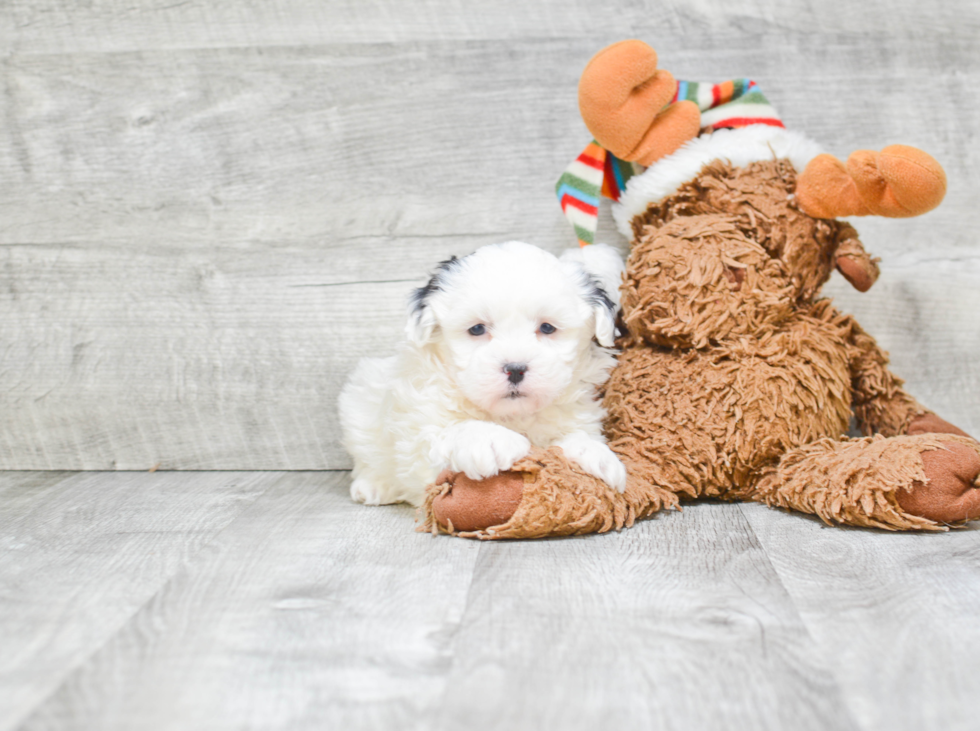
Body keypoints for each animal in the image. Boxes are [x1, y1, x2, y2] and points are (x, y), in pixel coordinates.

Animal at [336, 243, 628, 506]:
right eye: (476, 329)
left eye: (547, 328)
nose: (515, 368)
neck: (512, 415)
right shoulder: (419, 441)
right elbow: (445, 435)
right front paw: (488, 439)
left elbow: (574, 437)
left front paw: (595, 455)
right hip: (359, 401)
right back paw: (373, 485)